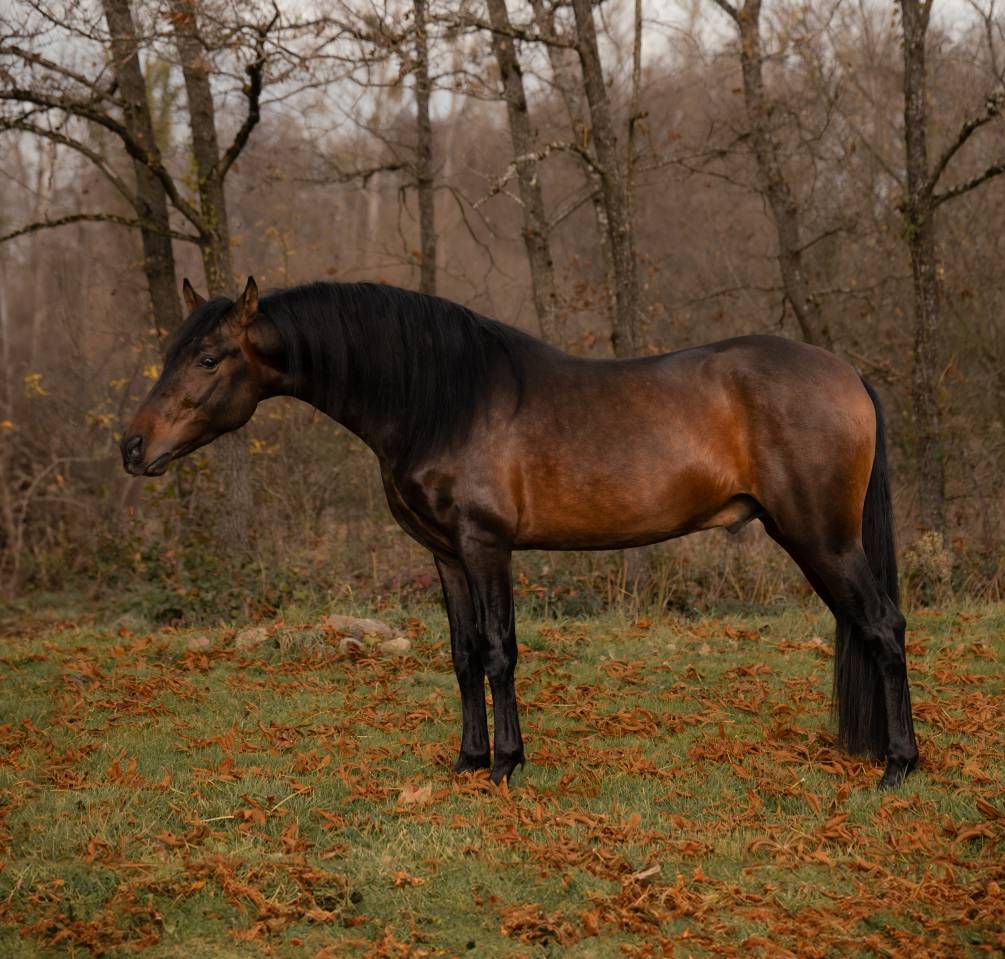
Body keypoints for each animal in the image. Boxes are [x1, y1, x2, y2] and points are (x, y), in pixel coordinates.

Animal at [121, 276, 919, 790]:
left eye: (208, 358)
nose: (132, 447)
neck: (442, 399)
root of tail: (846, 372)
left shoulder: (487, 547)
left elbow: (500, 652)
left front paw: (506, 763)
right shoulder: (445, 555)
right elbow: (462, 655)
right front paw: (468, 761)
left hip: (820, 537)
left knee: (881, 626)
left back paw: (898, 765)